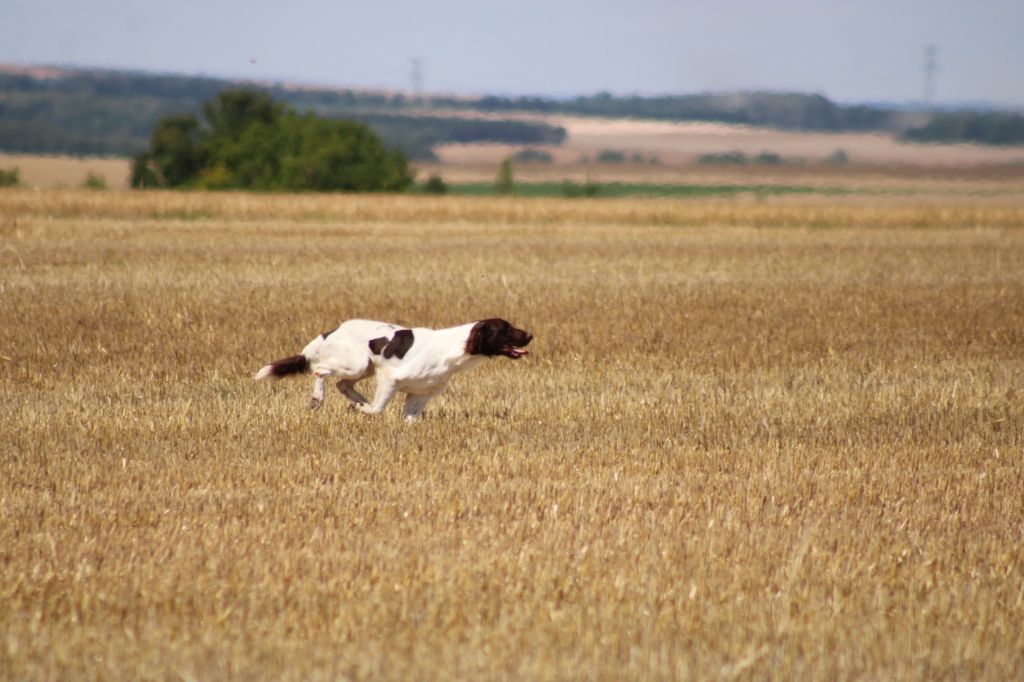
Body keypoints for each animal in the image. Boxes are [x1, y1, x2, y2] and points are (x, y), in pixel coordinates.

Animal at [254, 317, 532, 419]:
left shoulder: (420, 395)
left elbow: (410, 418)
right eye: (505, 328)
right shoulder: (391, 379)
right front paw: (361, 410)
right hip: (356, 364)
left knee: (342, 384)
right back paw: (318, 398)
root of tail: (332, 330)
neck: (451, 350)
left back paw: (357, 399)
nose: (530, 335)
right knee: (321, 371)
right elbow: (378, 409)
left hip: (364, 368)